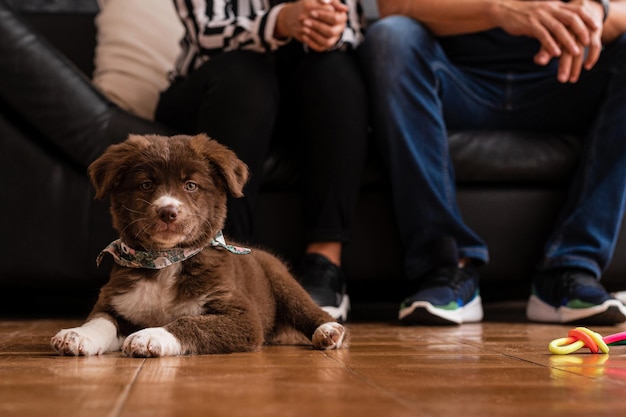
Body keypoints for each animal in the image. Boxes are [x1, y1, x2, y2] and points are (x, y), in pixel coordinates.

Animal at [51, 134, 344, 358]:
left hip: (281, 280)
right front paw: (76, 334)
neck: (165, 260)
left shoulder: (243, 316)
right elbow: (101, 320)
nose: (168, 212)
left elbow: (190, 322)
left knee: (306, 308)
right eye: (146, 184)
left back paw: (329, 330)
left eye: (191, 185)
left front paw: (150, 336)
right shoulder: (116, 300)